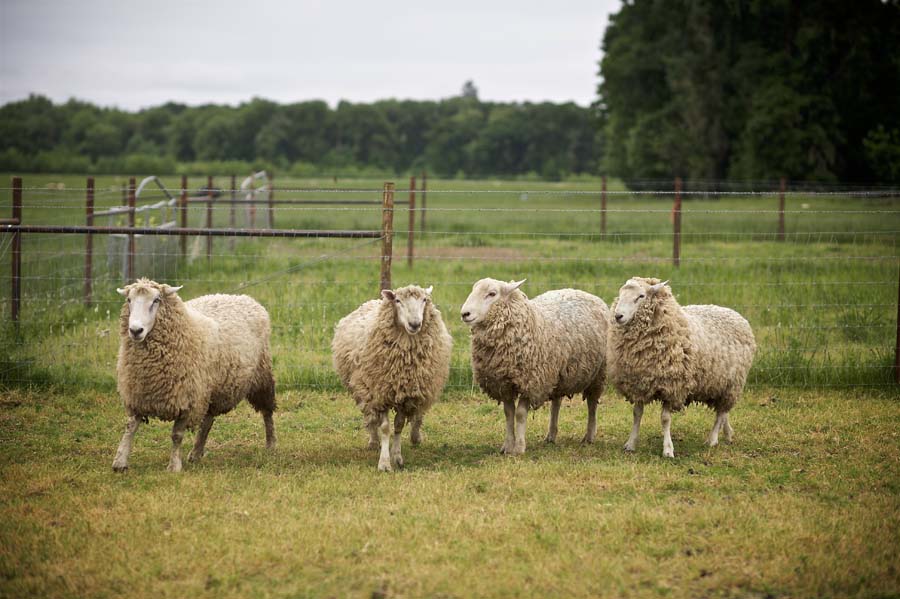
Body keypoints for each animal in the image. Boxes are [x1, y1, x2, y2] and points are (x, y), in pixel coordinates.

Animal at [111, 278, 274, 474]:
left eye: (156, 300)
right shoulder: (138, 393)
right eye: (129, 300)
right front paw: (120, 461)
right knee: (208, 420)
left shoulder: (187, 399)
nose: (135, 330)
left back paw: (271, 444)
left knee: (267, 411)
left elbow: (176, 435)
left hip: (260, 376)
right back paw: (196, 452)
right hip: (212, 388)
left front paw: (174, 466)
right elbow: (130, 427)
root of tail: (243, 297)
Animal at [332, 286, 454, 474]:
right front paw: (384, 462)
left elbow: (398, 426)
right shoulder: (379, 393)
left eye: (424, 300)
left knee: (416, 416)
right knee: (370, 416)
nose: (415, 324)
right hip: (363, 388)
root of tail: (374, 300)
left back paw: (415, 437)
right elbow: (385, 428)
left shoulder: (407, 396)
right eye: (398, 301)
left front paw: (397, 456)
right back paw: (373, 441)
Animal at [460, 278, 608, 458]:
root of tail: (585, 292)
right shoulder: (503, 384)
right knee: (556, 403)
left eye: (492, 294)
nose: (465, 314)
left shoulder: (531, 382)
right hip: (556, 374)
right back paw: (551, 435)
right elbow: (508, 413)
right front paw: (507, 446)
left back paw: (589, 436)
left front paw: (519, 448)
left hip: (597, 374)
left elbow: (520, 414)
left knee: (592, 404)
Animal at [604, 278, 760, 460]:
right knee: (723, 412)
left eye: (641, 296)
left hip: (732, 384)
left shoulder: (672, 385)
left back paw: (713, 439)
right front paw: (630, 444)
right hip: (720, 384)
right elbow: (636, 414)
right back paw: (728, 434)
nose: (618, 316)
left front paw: (668, 449)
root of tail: (736, 314)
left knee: (720, 413)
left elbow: (665, 419)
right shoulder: (639, 384)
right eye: (621, 293)